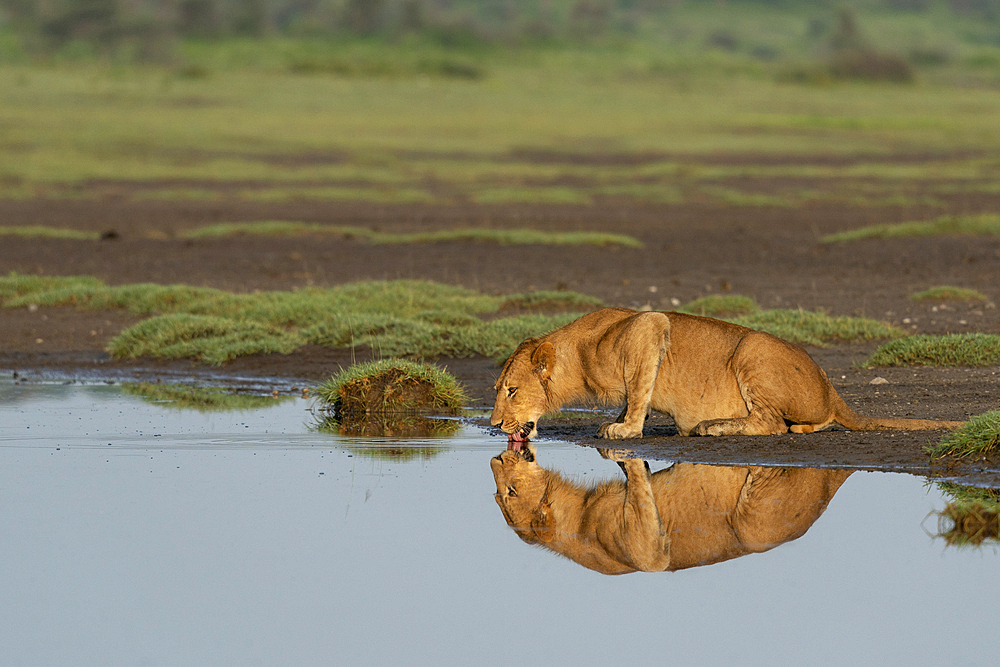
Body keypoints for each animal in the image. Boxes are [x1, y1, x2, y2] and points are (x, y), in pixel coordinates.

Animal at [490, 306, 960, 444]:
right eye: (498, 389)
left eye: (511, 390)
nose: (493, 425)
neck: (578, 356)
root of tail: (831, 387)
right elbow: (634, 395)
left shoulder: (650, 326)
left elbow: (638, 392)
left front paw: (624, 429)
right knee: (804, 422)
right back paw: (805, 426)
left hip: (751, 350)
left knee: (770, 423)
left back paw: (710, 426)